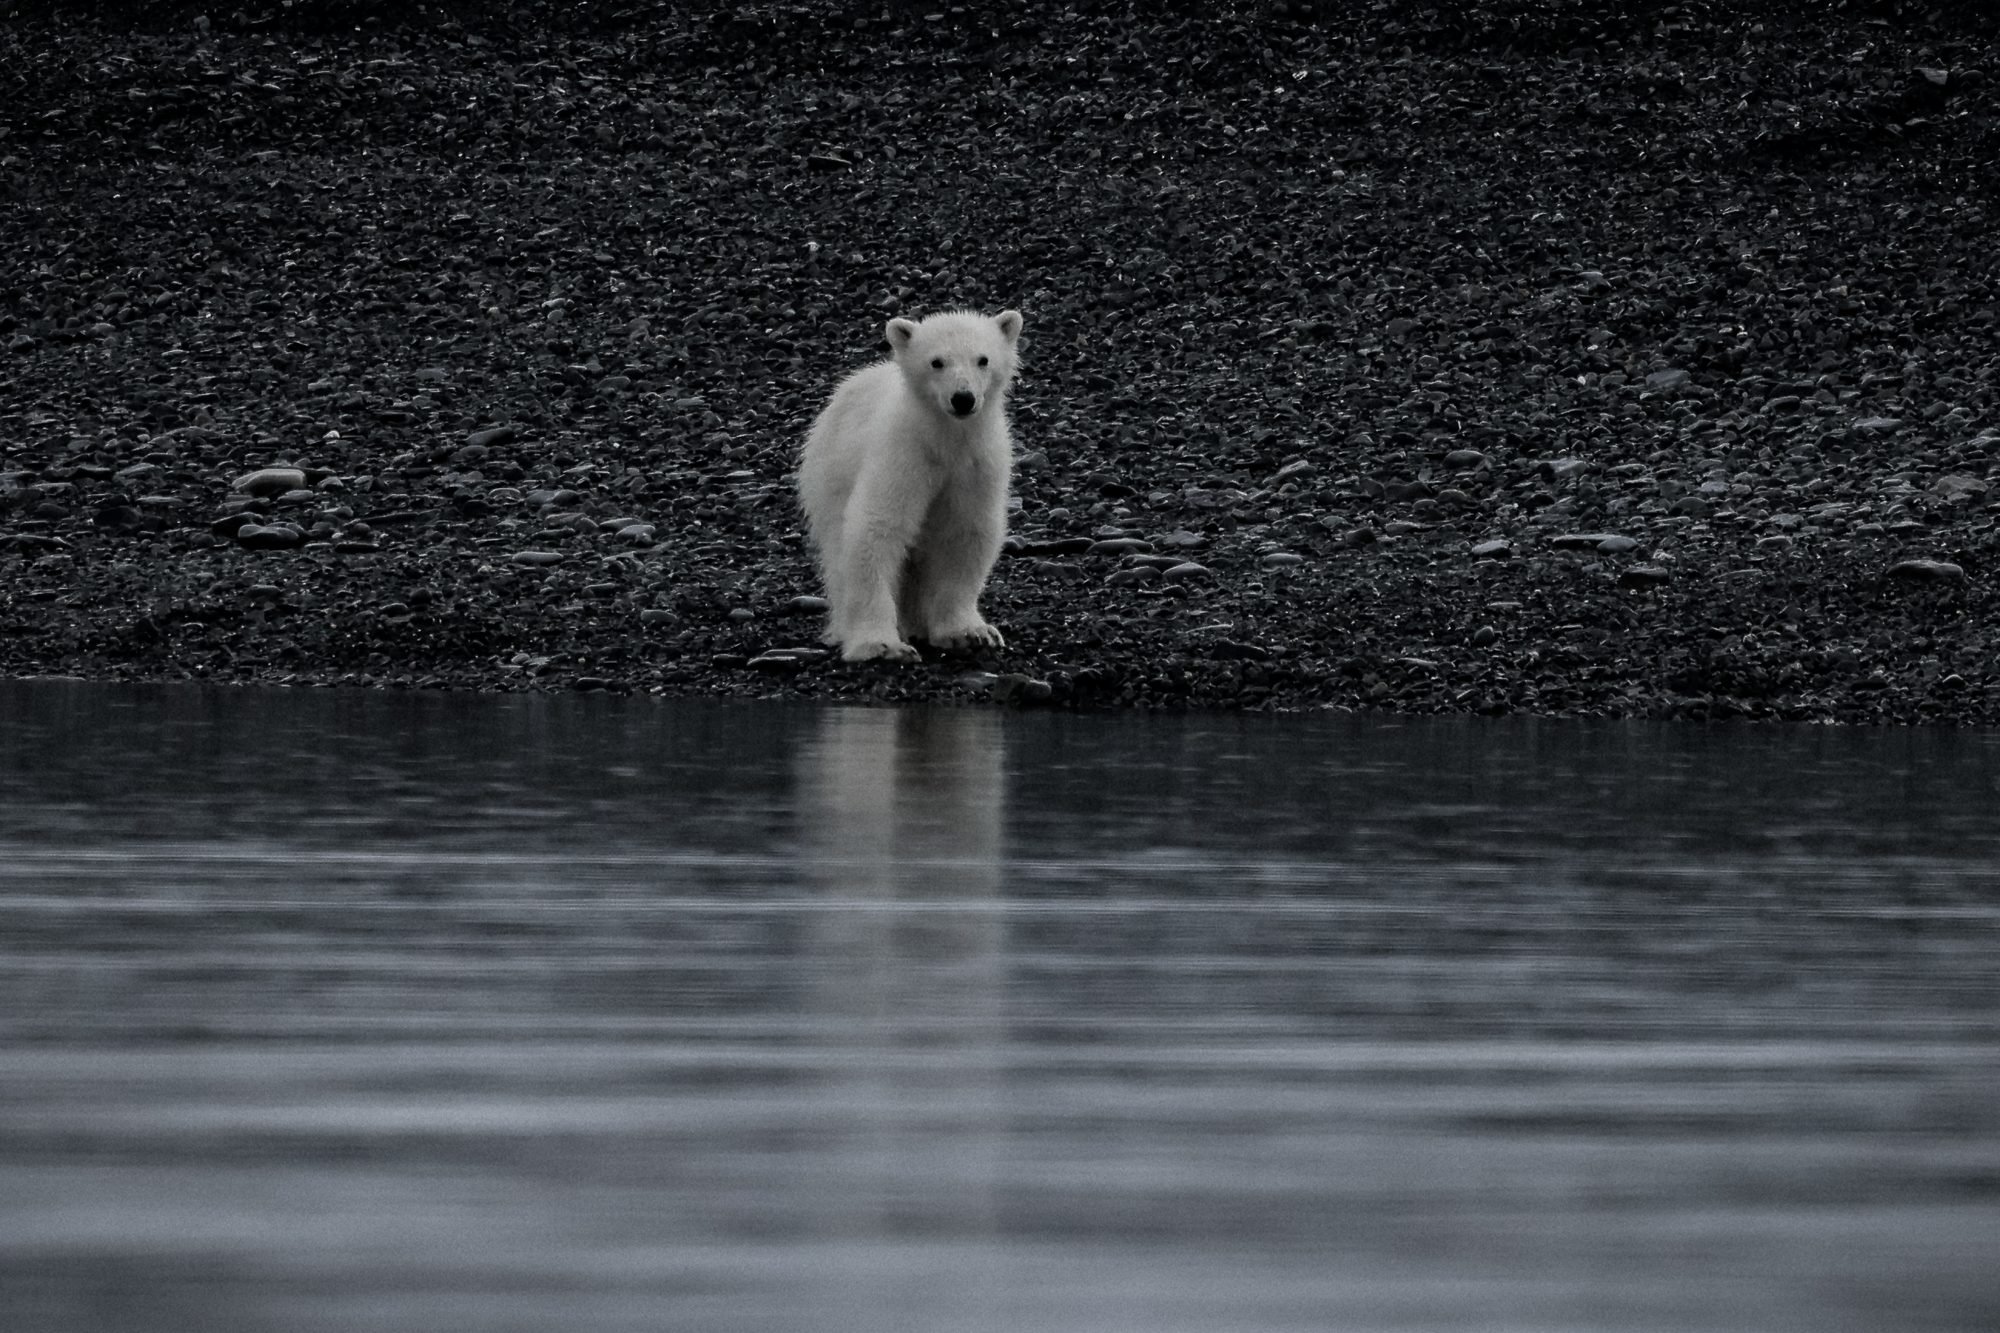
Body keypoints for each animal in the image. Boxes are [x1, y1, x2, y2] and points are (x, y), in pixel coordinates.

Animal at [797, 308, 1023, 662]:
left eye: (983, 359)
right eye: (936, 362)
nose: (963, 398)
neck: (945, 443)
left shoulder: (975, 467)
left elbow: (965, 532)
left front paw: (969, 633)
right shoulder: (905, 455)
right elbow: (878, 528)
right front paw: (880, 644)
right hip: (829, 477)